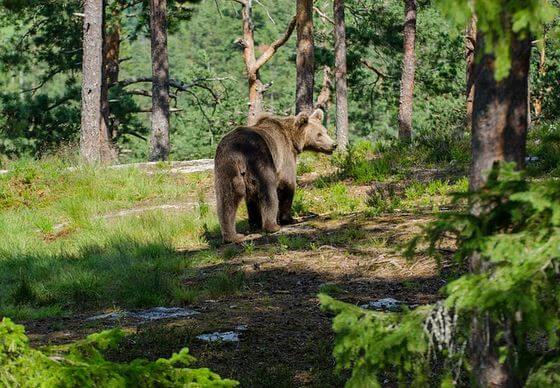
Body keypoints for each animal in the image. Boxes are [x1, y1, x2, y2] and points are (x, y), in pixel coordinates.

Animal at [214, 109, 336, 242]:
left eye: (325, 131)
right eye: (319, 134)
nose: (334, 145)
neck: (292, 139)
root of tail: (239, 151)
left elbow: (250, 199)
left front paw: (255, 223)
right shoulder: (285, 155)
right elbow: (287, 184)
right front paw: (290, 219)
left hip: (226, 165)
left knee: (228, 198)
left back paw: (232, 235)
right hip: (261, 159)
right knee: (267, 191)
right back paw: (272, 226)